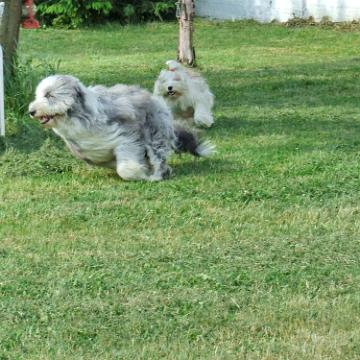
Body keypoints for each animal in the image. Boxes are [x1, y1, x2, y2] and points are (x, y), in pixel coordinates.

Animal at [28, 76, 214, 183]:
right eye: (38, 95)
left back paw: (156, 176)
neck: (80, 119)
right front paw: (141, 169)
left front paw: (139, 174)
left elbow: (124, 168)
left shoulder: (126, 138)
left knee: (158, 157)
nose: (31, 111)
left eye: (49, 95)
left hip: (155, 134)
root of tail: (156, 99)